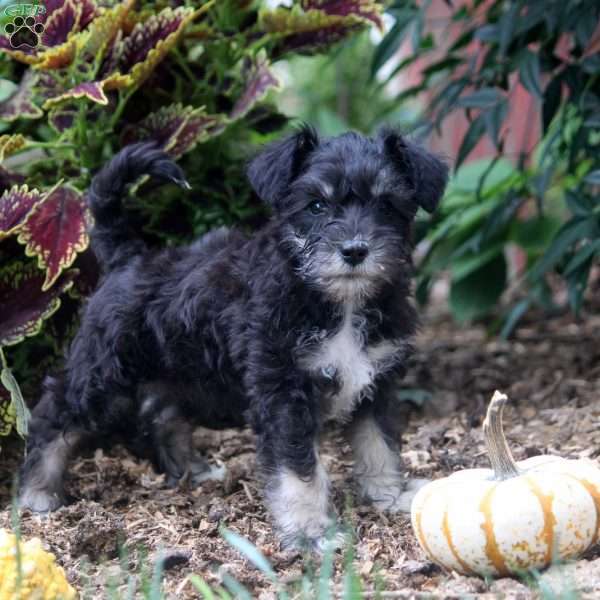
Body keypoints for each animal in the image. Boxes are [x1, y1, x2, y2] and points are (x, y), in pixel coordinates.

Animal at [19, 129, 446, 552]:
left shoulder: (377, 379)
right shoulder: (283, 392)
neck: (337, 302)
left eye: (387, 204)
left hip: (180, 370)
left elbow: (380, 443)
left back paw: (191, 471)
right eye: (317, 205)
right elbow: (298, 469)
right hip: (104, 372)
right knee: (53, 414)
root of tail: (129, 258)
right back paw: (37, 492)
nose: (355, 250)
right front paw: (310, 532)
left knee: (160, 412)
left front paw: (389, 494)